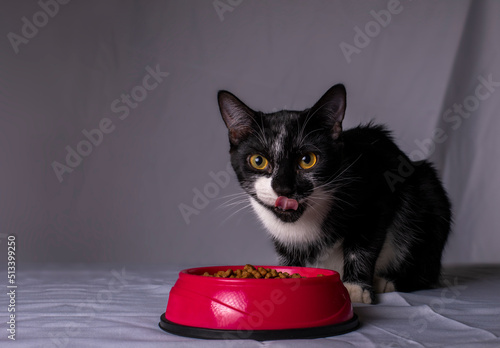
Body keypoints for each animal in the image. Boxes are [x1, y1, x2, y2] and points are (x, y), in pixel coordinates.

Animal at [217, 85, 452, 304]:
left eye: (307, 160)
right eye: (258, 161)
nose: (283, 189)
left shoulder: (377, 192)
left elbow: (362, 245)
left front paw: (356, 288)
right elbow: (288, 256)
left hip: (428, 194)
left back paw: (387, 281)